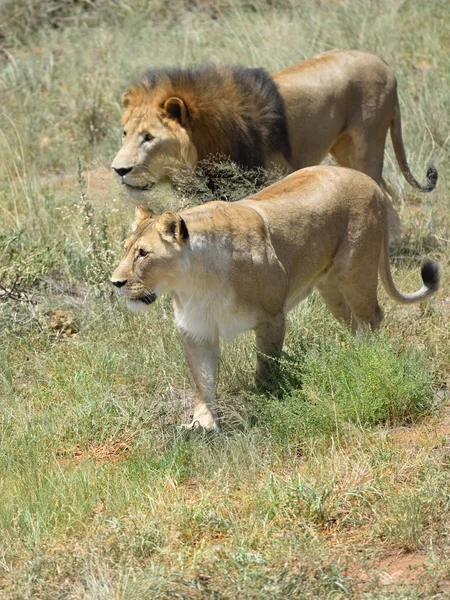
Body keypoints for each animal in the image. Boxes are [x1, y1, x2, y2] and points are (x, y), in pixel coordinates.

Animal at [111, 166, 440, 428]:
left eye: (143, 253)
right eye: (126, 249)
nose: (115, 282)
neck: (196, 282)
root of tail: (370, 181)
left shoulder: (271, 318)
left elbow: (266, 366)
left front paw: (266, 399)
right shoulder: (197, 330)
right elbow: (202, 380)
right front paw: (203, 424)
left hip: (355, 274)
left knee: (372, 316)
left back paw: (368, 359)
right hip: (331, 288)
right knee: (354, 323)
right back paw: (353, 356)